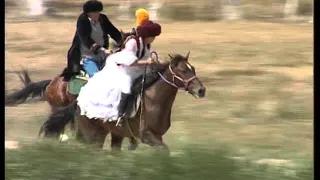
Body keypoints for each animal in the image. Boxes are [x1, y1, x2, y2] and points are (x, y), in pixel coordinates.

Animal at [38, 52, 206, 152]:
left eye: (193, 69)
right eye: (183, 71)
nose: (201, 90)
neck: (153, 100)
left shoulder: (157, 136)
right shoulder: (147, 136)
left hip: (108, 133)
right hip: (91, 133)